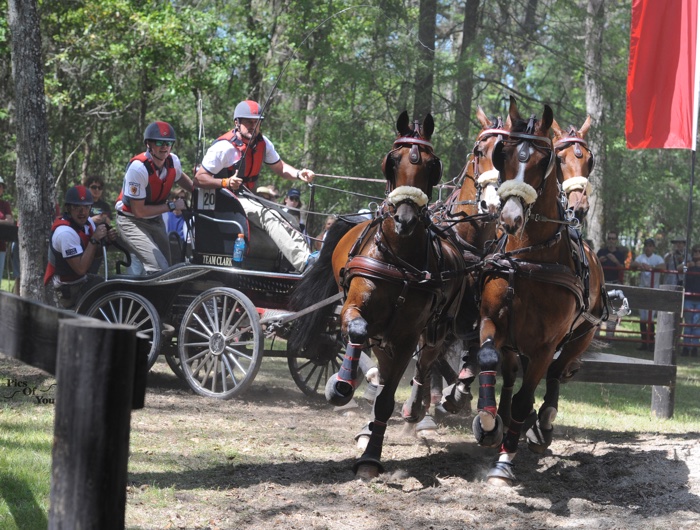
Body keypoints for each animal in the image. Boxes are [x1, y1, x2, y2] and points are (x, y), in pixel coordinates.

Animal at [288, 109, 468, 476]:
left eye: (433, 165)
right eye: (392, 160)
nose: (405, 219)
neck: (399, 259)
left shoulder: (407, 335)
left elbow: (388, 397)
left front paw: (371, 455)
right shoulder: (354, 308)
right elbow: (356, 332)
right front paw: (340, 386)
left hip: (436, 328)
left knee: (426, 361)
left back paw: (418, 407)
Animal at [476, 97, 608, 484]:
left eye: (542, 159)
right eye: (502, 153)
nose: (510, 217)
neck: (528, 258)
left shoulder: (546, 344)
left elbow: (528, 394)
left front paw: (505, 461)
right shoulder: (491, 321)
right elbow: (488, 362)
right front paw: (488, 422)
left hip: (581, 334)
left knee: (553, 375)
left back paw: (542, 425)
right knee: (508, 375)